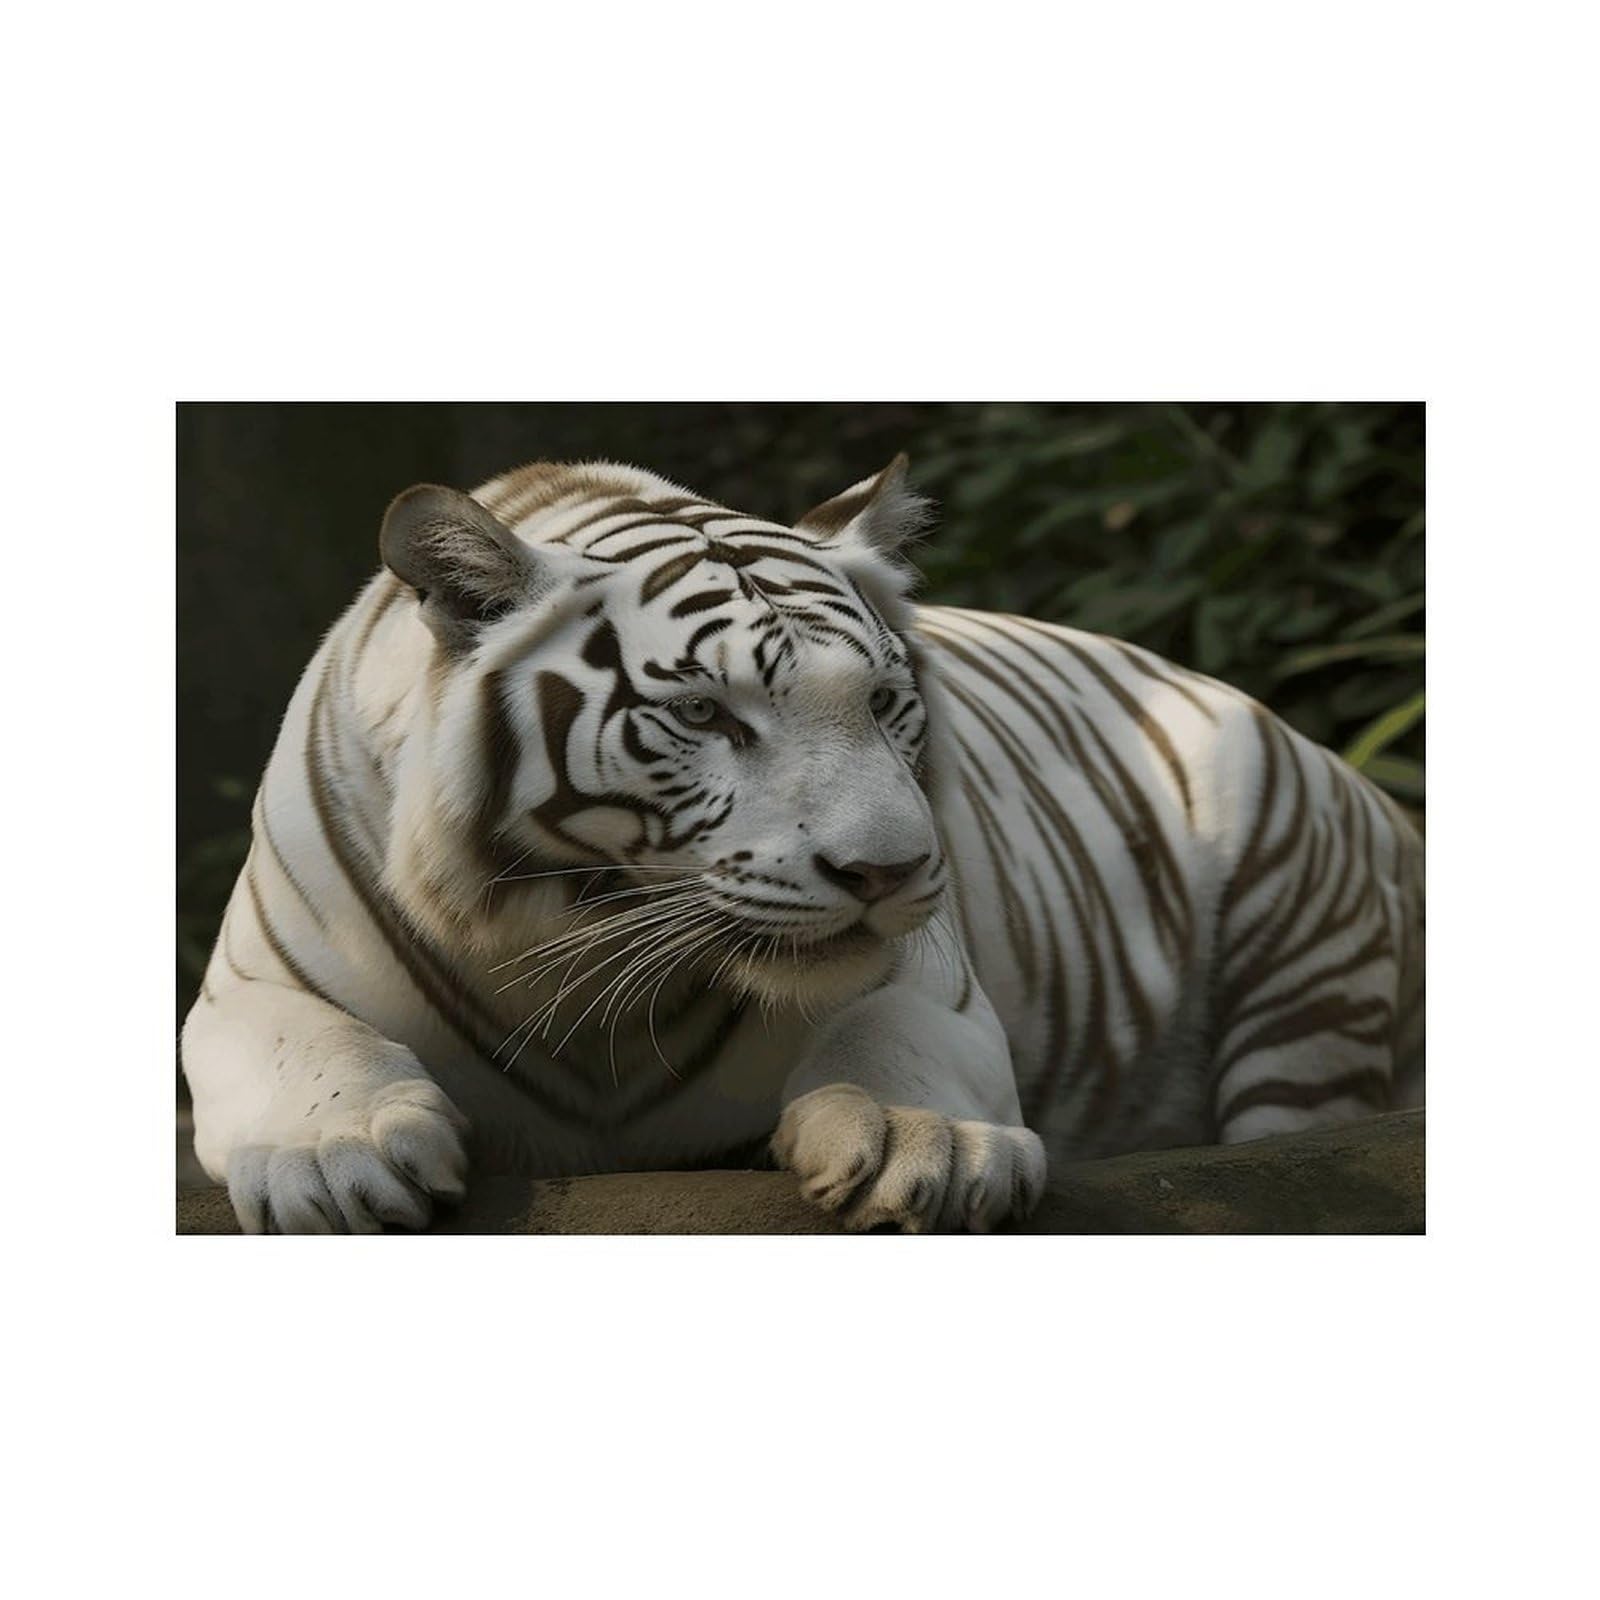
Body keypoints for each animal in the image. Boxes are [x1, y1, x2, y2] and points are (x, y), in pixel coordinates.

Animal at [181, 453, 1425, 1234]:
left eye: (880, 701)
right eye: (703, 714)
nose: (886, 872)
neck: (582, 947)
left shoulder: (936, 976)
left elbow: (892, 1033)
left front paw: (929, 1146)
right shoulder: (252, 982)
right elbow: (306, 1044)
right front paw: (333, 1159)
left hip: (1303, 986)